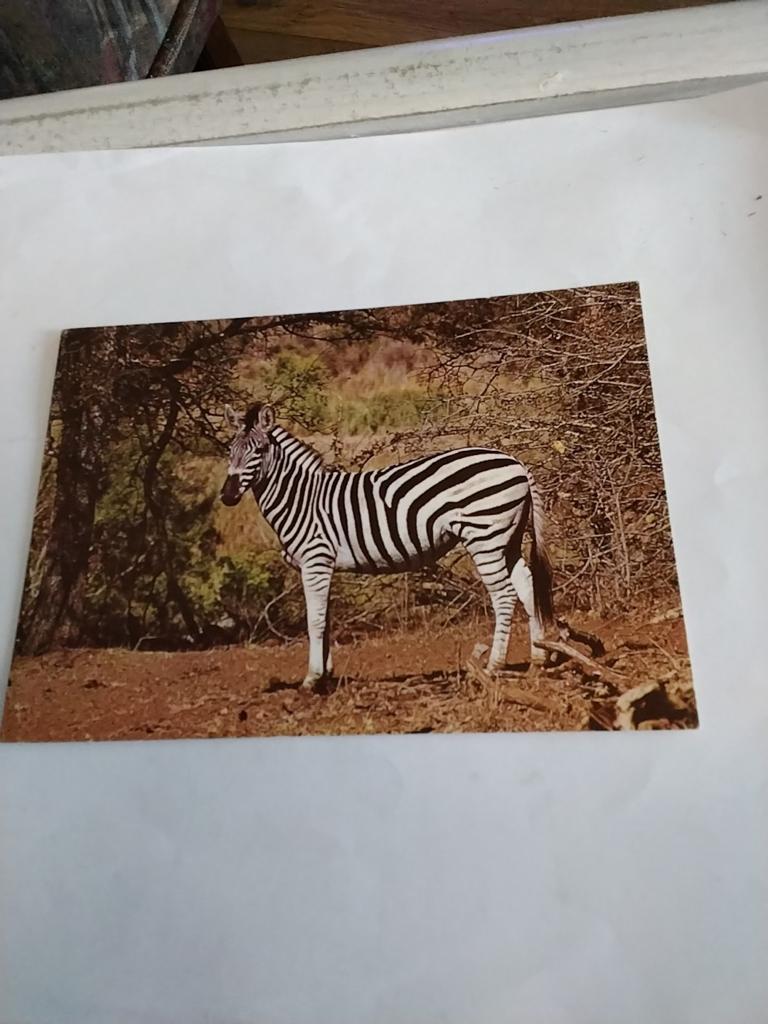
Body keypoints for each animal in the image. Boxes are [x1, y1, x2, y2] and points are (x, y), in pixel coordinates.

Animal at [220, 403, 554, 690]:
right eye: (229, 451)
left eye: (259, 450)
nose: (226, 496)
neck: (301, 498)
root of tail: (516, 462)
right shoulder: (325, 566)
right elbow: (326, 619)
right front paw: (327, 675)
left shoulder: (315, 560)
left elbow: (314, 620)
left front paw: (312, 679)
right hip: (507, 538)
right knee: (526, 584)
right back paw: (538, 657)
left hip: (484, 536)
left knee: (504, 595)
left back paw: (493, 666)